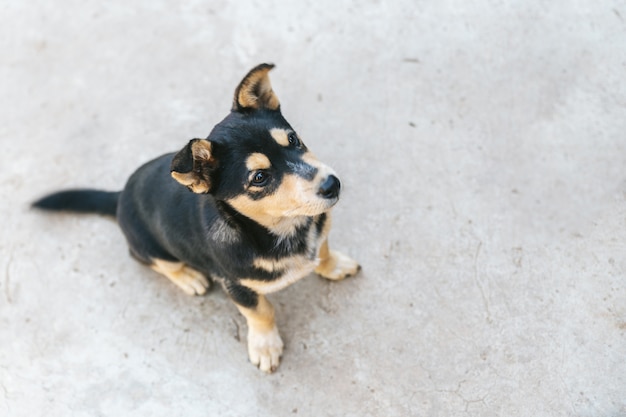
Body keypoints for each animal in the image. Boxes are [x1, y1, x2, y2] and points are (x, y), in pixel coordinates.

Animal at [31, 63, 358, 372]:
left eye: (292, 139)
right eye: (260, 177)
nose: (332, 184)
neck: (284, 228)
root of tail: (120, 195)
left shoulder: (320, 231)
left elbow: (324, 250)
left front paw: (334, 265)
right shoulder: (237, 286)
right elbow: (262, 312)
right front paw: (265, 346)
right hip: (149, 246)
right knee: (156, 262)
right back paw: (188, 277)